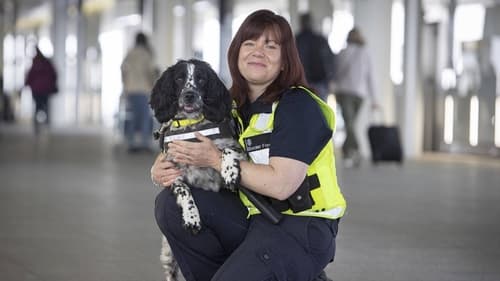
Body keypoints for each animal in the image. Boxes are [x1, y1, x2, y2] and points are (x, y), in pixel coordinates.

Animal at [150, 58, 246, 278]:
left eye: (201, 79)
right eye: (179, 79)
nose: (189, 95)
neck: (192, 127)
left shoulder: (235, 147)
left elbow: (226, 150)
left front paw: (230, 172)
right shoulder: (172, 171)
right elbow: (184, 191)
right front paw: (191, 217)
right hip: (168, 254)